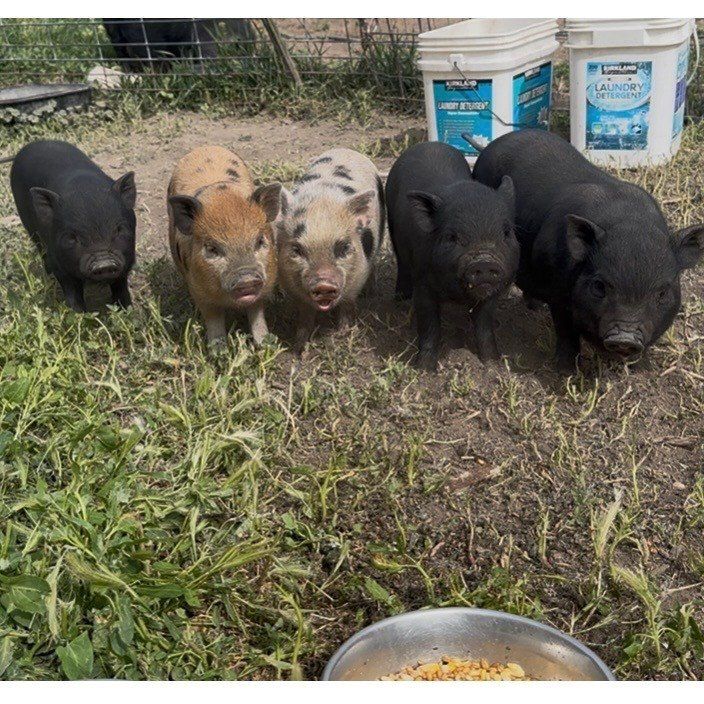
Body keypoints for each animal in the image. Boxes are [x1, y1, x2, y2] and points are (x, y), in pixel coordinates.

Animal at [10, 139, 137, 311]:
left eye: (119, 230)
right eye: (72, 237)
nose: (104, 263)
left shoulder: (127, 259)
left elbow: (120, 285)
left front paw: (127, 310)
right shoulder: (60, 265)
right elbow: (72, 293)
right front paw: (78, 315)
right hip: (29, 226)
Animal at [167, 145, 282, 345]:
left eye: (260, 241)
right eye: (212, 249)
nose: (247, 278)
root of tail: (205, 147)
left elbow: (257, 313)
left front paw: (266, 343)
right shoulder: (200, 291)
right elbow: (213, 321)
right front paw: (217, 349)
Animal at [277, 148, 385, 351]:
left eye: (343, 248)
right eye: (297, 249)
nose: (324, 284)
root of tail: (347, 150)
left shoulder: (358, 276)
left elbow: (348, 305)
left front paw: (342, 333)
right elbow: (305, 313)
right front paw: (299, 346)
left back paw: (372, 291)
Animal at [385, 141, 519, 371]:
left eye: (507, 232)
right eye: (452, 236)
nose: (484, 260)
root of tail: (427, 143)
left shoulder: (492, 292)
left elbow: (484, 326)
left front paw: (493, 365)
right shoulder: (423, 284)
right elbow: (429, 326)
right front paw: (424, 370)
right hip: (391, 226)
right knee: (401, 262)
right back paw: (401, 297)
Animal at [472, 129, 704, 370]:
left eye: (662, 292)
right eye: (599, 286)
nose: (625, 338)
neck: (629, 226)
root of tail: (490, 146)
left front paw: (641, 368)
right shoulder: (558, 291)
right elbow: (566, 332)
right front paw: (565, 371)